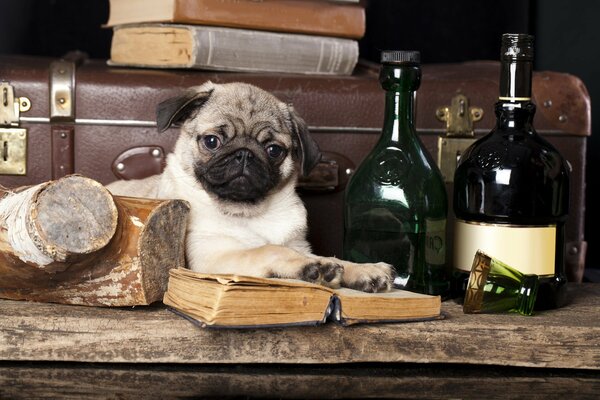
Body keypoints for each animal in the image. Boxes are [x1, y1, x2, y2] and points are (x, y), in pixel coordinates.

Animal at [107, 82, 394, 294]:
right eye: (211, 141)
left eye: (274, 150)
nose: (244, 154)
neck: (249, 212)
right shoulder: (206, 257)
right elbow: (269, 249)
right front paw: (312, 266)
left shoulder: (298, 243)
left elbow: (335, 258)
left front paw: (364, 269)